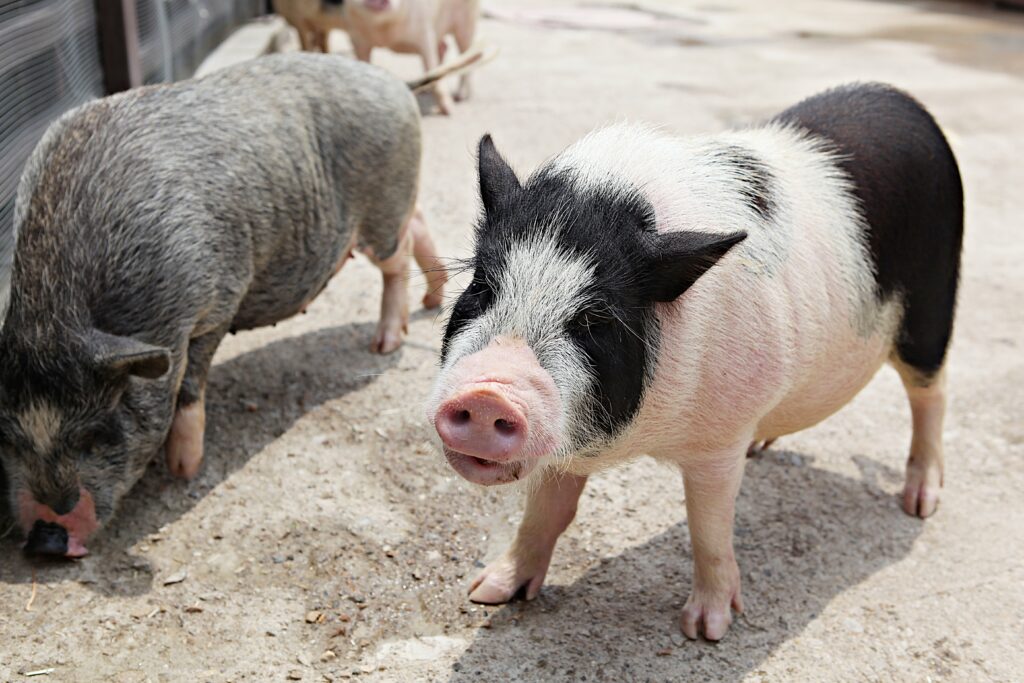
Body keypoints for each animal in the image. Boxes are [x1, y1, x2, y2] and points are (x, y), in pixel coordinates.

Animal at [0, 52, 450, 558]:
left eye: (96, 435)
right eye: (6, 439)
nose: (46, 542)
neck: (56, 314)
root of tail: (394, 82)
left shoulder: (216, 301)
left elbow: (190, 385)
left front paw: (184, 469)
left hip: (380, 211)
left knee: (398, 252)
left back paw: (384, 344)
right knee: (418, 224)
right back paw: (432, 299)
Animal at [341, 0, 480, 115]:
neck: (385, 28)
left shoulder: (425, 34)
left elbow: (432, 64)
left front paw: (448, 112)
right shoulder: (357, 39)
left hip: (467, 20)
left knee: (467, 54)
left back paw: (460, 97)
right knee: (443, 48)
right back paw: (425, 90)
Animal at [428, 83, 963, 641]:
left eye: (595, 319)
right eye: (483, 287)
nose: (488, 394)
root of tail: (903, 100)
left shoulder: (720, 441)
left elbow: (707, 527)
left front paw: (705, 630)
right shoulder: (566, 433)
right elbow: (545, 513)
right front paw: (486, 593)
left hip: (932, 308)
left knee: (934, 389)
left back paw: (919, 503)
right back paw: (764, 447)